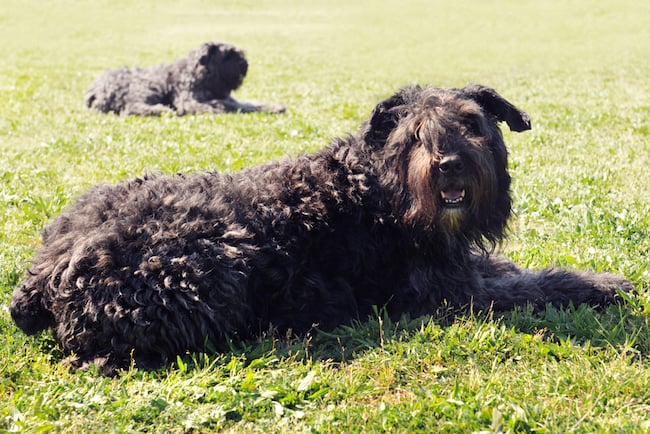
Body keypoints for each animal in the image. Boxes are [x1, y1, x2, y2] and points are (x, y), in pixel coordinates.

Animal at [10, 85, 632, 372]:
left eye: (472, 123)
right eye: (413, 134)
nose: (449, 164)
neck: (376, 194)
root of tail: (43, 276)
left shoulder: (459, 267)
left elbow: (509, 268)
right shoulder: (448, 295)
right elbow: (531, 286)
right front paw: (600, 285)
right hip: (209, 269)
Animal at [83, 41, 284, 116]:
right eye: (228, 55)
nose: (245, 63)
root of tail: (94, 89)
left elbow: (249, 103)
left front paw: (274, 106)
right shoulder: (190, 101)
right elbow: (224, 105)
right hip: (146, 88)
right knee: (132, 108)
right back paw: (162, 110)